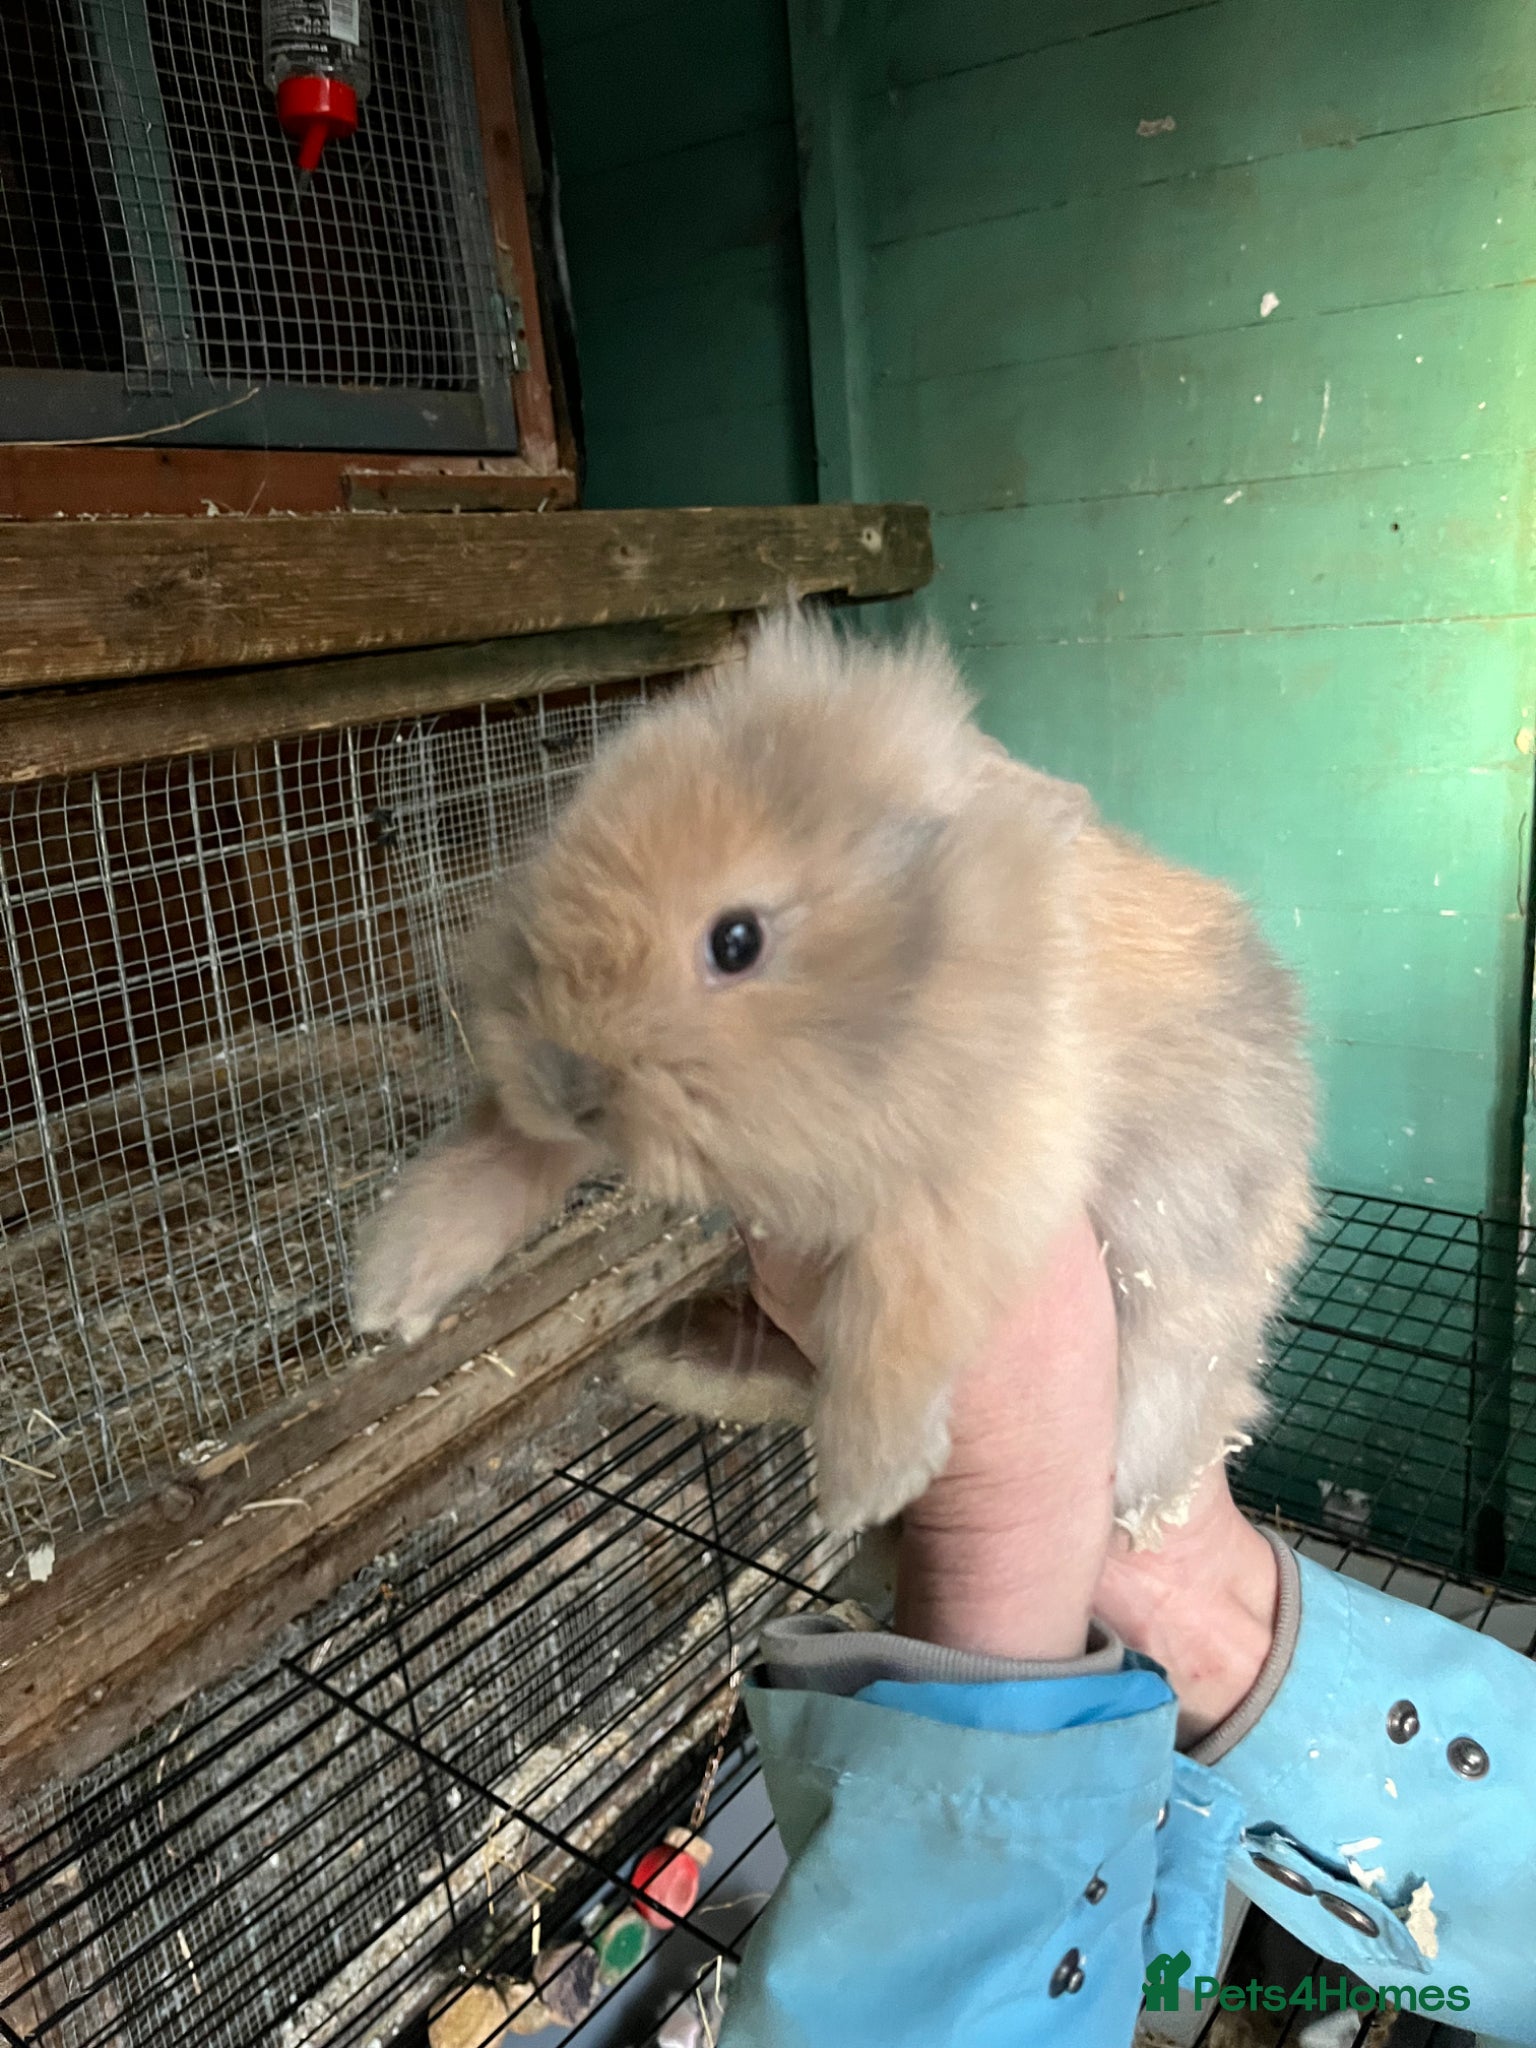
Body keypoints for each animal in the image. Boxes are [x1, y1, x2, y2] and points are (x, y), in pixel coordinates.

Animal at [354, 608, 1315, 1539]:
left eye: (736, 940)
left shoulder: (985, 1177)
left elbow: (897, 1303)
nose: (566, 1080)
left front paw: (868, 1481)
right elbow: (501, 1156)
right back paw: (679, 1354)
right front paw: (391, 1292)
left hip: (1180, 1338)